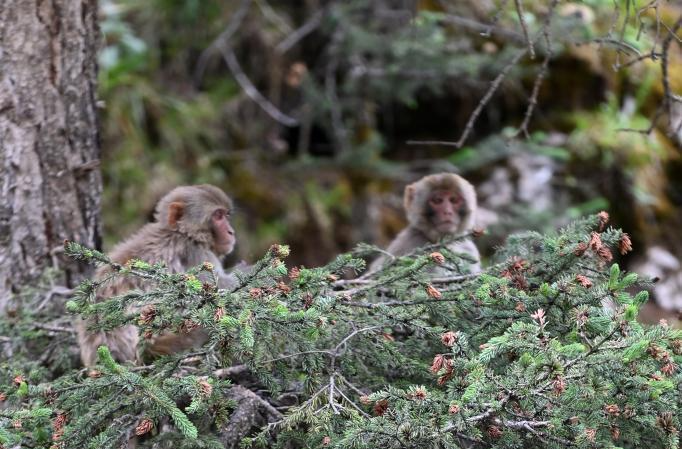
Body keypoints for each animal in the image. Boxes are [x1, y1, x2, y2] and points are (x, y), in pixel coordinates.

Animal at [77, 184, 242, 366]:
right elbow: (220, 290)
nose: (231, 232)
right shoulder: (196, 254)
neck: (183, 233)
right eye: (218, 216)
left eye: (226, 215)